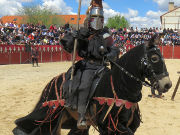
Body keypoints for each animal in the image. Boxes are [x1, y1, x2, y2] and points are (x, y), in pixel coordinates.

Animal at [12, 35, 172, 135]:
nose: (167, 85)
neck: (121, 87)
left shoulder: (127, 125)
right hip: (50, 111)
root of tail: (53, 81)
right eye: (154, 58)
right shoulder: (109, 125)